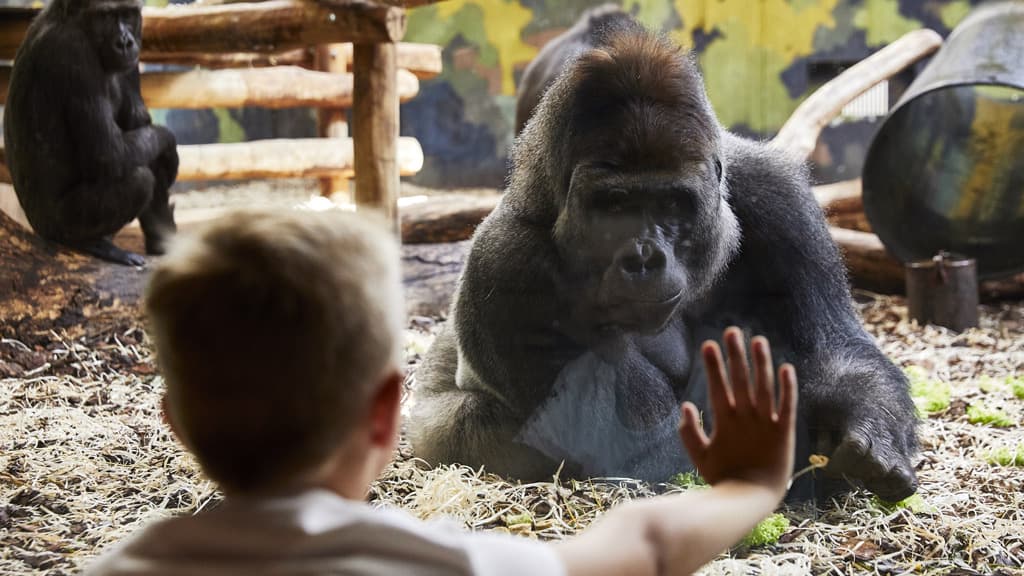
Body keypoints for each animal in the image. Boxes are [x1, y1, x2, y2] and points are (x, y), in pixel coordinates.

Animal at [4, 0, 178, 266]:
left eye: (127, 14)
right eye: (106, 16)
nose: (124, 42)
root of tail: (35, 228)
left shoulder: (131, 62)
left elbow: (139, 125)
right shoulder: (74, 54)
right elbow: (110, 153)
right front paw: (169, 143)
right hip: (58, 225)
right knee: (138, 180)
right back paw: (90, 243)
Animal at [409, 26, 919, 503]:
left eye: (672, 204)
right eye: (613, 207)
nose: (643, 258)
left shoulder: (776, 192)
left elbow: (832, 348)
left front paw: (866, 426)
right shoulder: (505, 265)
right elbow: (659, 451)